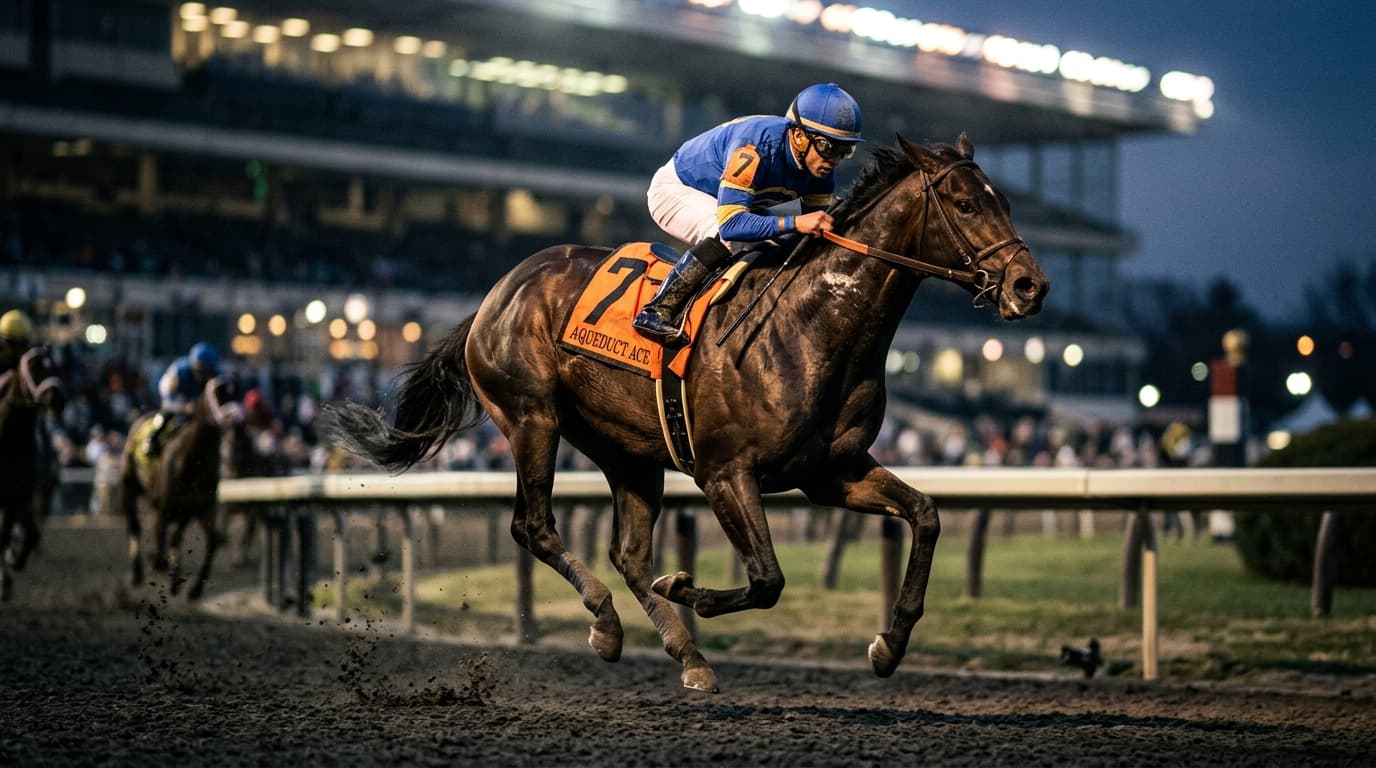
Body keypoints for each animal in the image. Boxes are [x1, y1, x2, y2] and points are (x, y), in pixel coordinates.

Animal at [0, 346, 67, 600]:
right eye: (34, 366)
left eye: (56, 366)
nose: (57, 399)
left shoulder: (18, 496)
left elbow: (29, 534)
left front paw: (14, 563)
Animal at [121, 374, 249, 600]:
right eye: (218, 393)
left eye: (238, 392)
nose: (236, 421)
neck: (193, 460)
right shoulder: (169, 506)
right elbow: (166, 536)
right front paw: (165, 569)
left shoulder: (200, 508)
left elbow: (210, 541)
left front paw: (194, 589)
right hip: (130, 487)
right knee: (135, 526)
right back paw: (137, 573)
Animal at [327, 134, 1049, 692]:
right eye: (964, 203)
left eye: (1006, 202)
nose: (1030, 286)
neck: (816, 327)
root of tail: (496, 292)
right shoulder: (726, 472)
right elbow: (767, 579)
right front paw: (686, 587)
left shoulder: (830, 471)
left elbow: (925, 515)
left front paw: (889, 645)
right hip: (532, 419)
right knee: (533, 526)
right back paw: (608, 624)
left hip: (628, 450)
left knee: (627, 553)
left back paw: (686, 653)